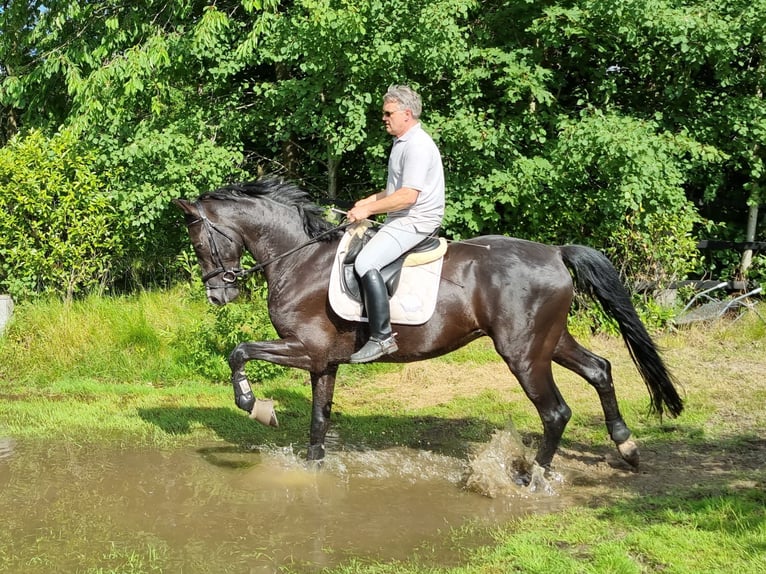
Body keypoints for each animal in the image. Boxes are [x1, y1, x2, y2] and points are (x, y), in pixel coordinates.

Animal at [177, 178, 688, 474]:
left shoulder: (305, 348)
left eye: (200, 241)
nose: (218, 295)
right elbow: (319, 421)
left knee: (556, 412)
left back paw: (532, 477)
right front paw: (312, 467)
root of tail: (555, 252)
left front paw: (255, 406)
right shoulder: (324, 362)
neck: (300, 259)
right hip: (549, 340)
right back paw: (626, 447)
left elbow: (239, 352)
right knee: (600, 369)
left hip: (523, 353)